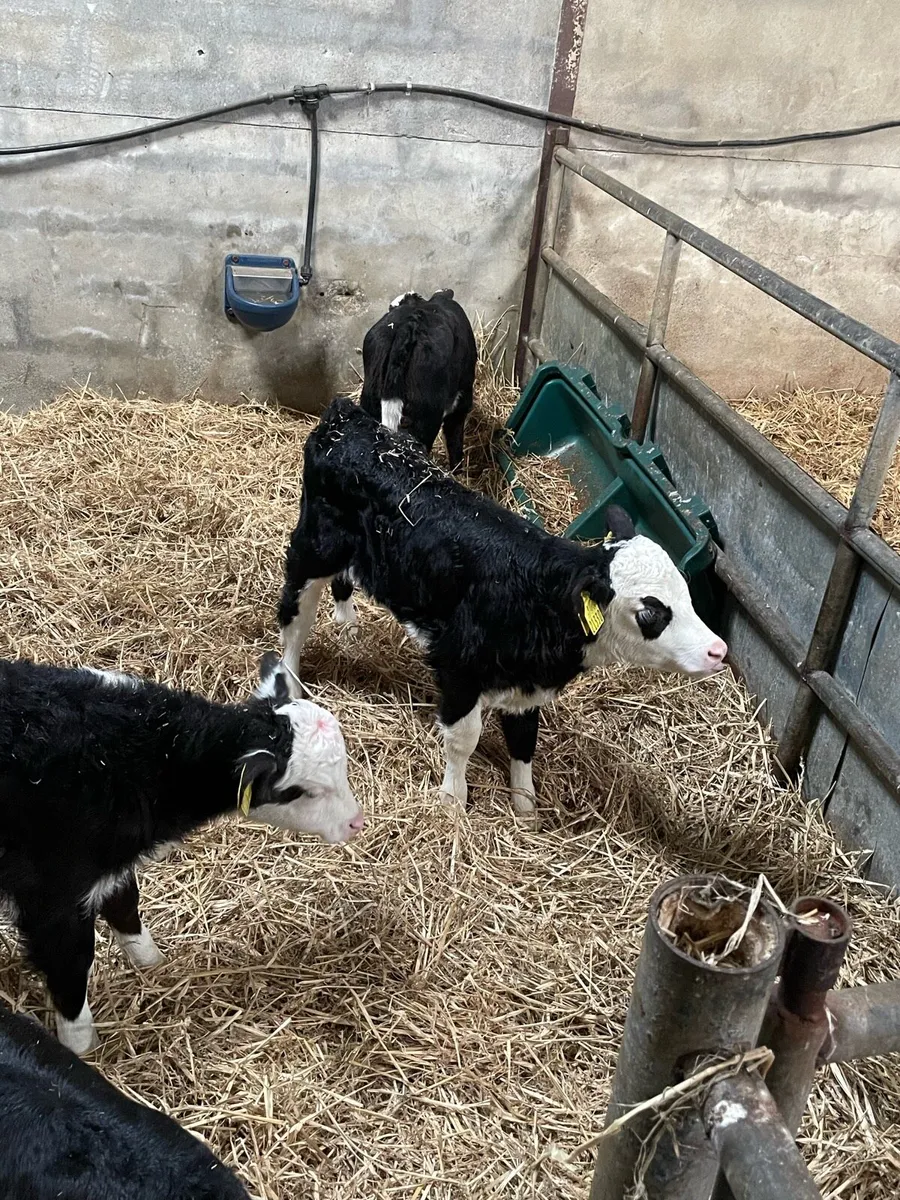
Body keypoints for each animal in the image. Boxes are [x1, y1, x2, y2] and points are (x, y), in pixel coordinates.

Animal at [0, 654, 363, 1055]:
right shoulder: (50, 898)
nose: (356, 822)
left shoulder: (109, 869)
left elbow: (126, 908)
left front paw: (154, 965)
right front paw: (82, 1048)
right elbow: (70, 966)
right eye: (306, 792)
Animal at [277, 399, 727, 825]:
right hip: (312, 547)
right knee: (294, 619)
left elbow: (525, 741)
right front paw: (453, 801)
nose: (718, 650)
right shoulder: (458, 667)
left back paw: (348, 625)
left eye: (687, 596)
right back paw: (292, 686)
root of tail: (346, 417)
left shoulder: (527, 687)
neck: (535, 599)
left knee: (340, 584)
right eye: (650, 612)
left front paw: (526, 810)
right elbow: (464, 738)